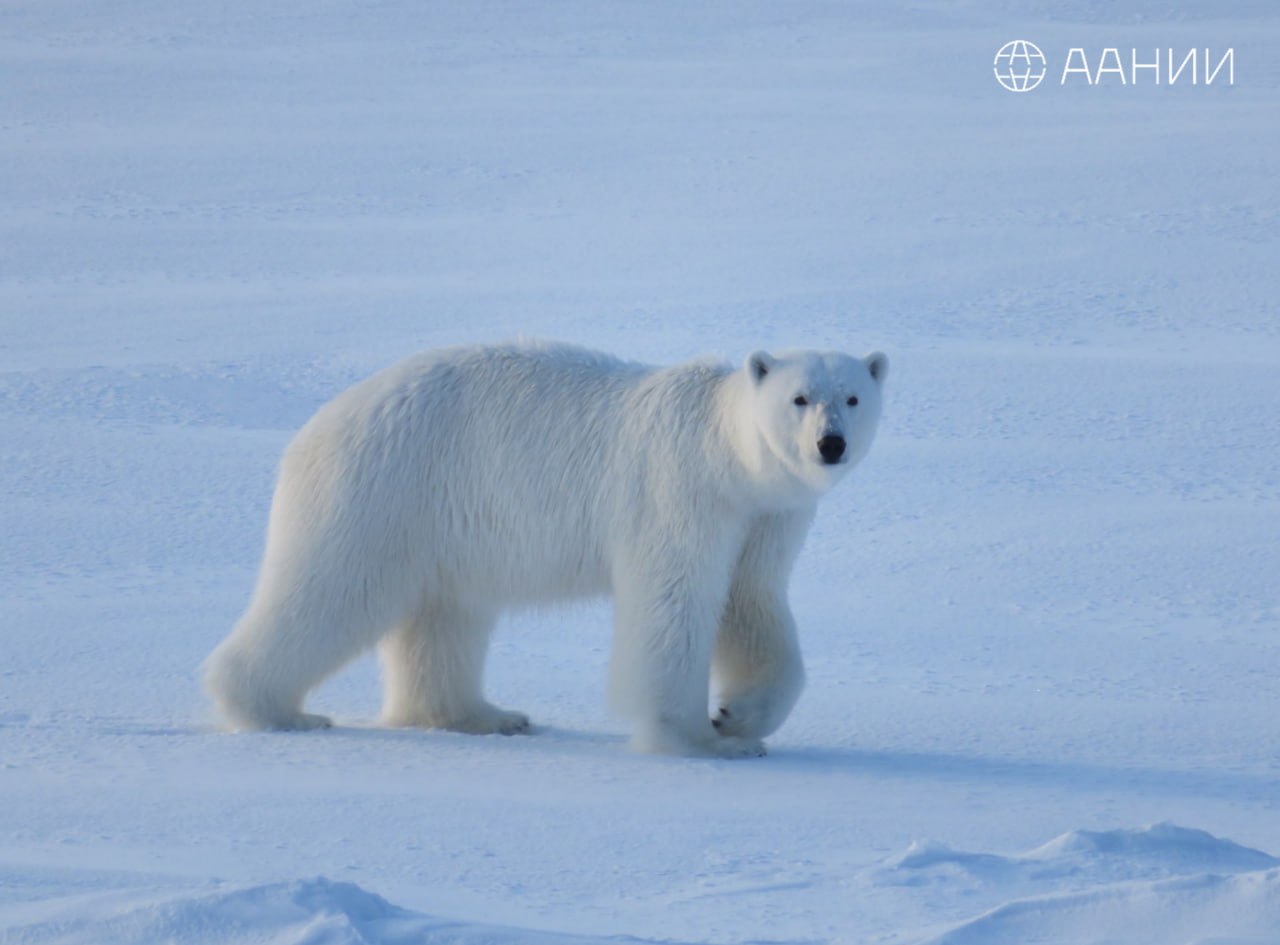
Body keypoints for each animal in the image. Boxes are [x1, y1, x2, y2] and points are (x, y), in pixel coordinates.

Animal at [207, 338, 890, 758]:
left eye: (854, 397)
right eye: (800, 398)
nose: (830, 443)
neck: (724, 455)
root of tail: (314, 429)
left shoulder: (765, 514)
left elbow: (753, 603)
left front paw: (739, 720)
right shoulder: (679, 493)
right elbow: (674, 605)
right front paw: (695, 738)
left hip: (443, 523)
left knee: (446, 617)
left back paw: (484, 715)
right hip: (382, 491)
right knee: (332, 589)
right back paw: (275, 711)